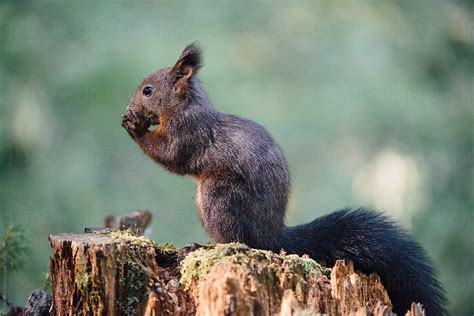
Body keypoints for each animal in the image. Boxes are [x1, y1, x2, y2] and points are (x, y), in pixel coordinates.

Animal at [120, 43, 446, 314]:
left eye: (148, 90)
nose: (129, 107)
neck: (184, 106)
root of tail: (272, 235)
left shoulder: (188, 133)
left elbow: (171, 155)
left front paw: (134, 126)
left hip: (217, 194)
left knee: (240, 240)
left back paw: (205, 247)